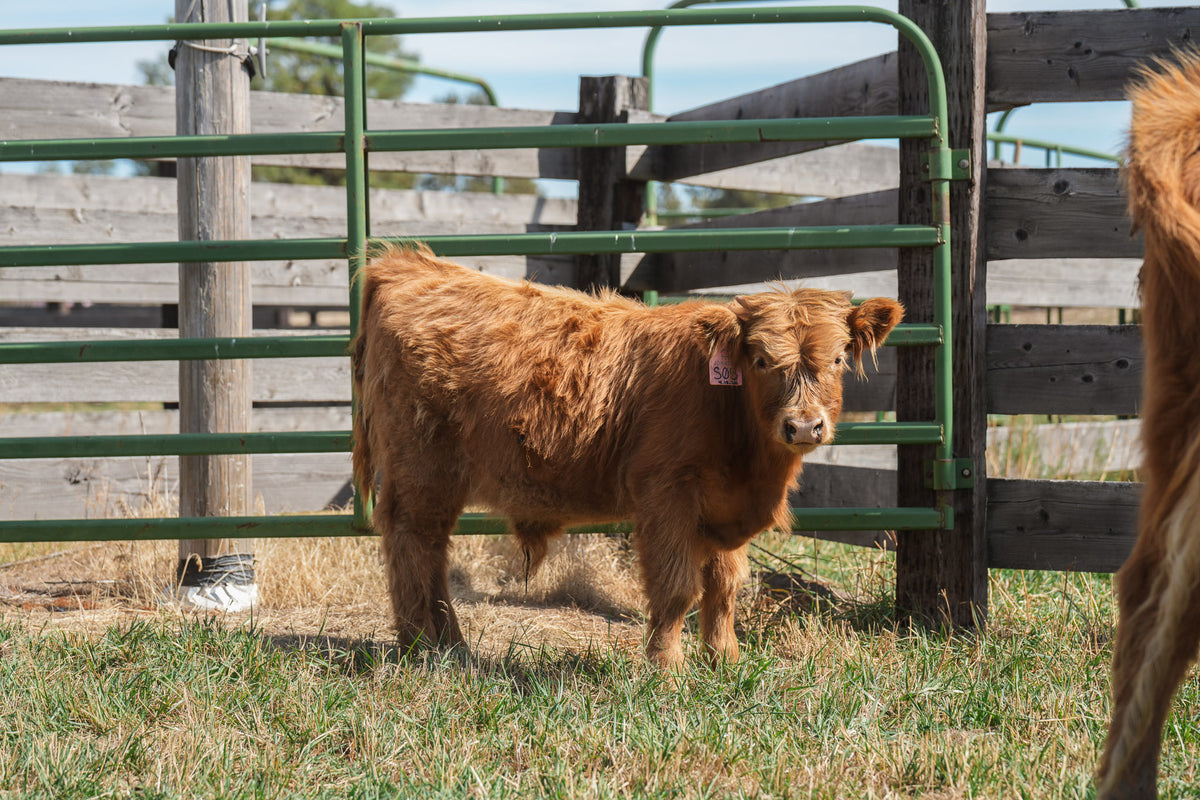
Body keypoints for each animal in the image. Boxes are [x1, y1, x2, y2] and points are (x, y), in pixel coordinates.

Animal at [351, 244, 902, 668]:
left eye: (838, 358)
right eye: (763, 360)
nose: (804, 425)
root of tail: (410, 265)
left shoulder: (724, 509)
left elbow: (724, 587)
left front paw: (725, 661)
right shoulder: (666, 495)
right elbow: (677, 588)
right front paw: (667, 670)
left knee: (431, 550)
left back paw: (447, 645)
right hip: (421, 470)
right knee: (413, 543)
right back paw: (425, 647)